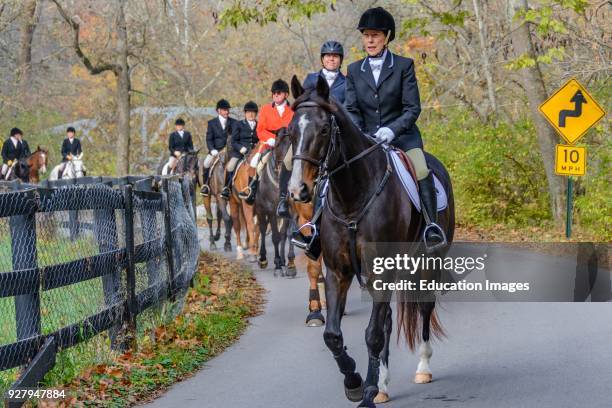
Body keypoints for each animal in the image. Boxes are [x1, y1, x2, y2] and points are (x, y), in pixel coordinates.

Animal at [286, 75, 454, 406]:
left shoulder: (382, 271)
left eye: (323, 129)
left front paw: (365, 392)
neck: (353, 195)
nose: (298, 190)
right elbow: (333, 335)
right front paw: (355, 383)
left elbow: (373, 333)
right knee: (388, 318)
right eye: (291, 131)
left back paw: (422, 368)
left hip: (429, 263)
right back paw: (383, 385)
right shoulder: (338, 271)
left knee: (424, 307)